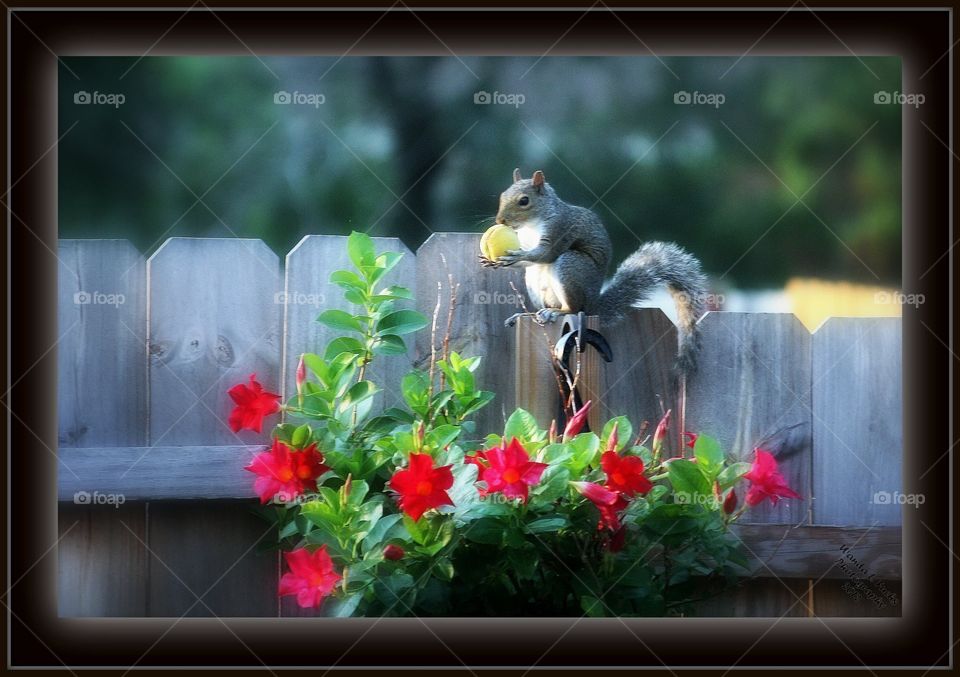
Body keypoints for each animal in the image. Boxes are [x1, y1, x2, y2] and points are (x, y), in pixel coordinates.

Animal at [480, 168, 707, 375]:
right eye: (502, 196)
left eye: (524, 201)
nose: (500, 221)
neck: (532, 223)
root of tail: (591, 307)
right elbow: (528, 261)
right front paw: (498, 262)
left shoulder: (560, 229)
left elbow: (545, 254)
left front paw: (515, 257)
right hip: (534, 283)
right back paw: (528, 313)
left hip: (571, 267)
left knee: (572, 307)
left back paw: (557, 311)